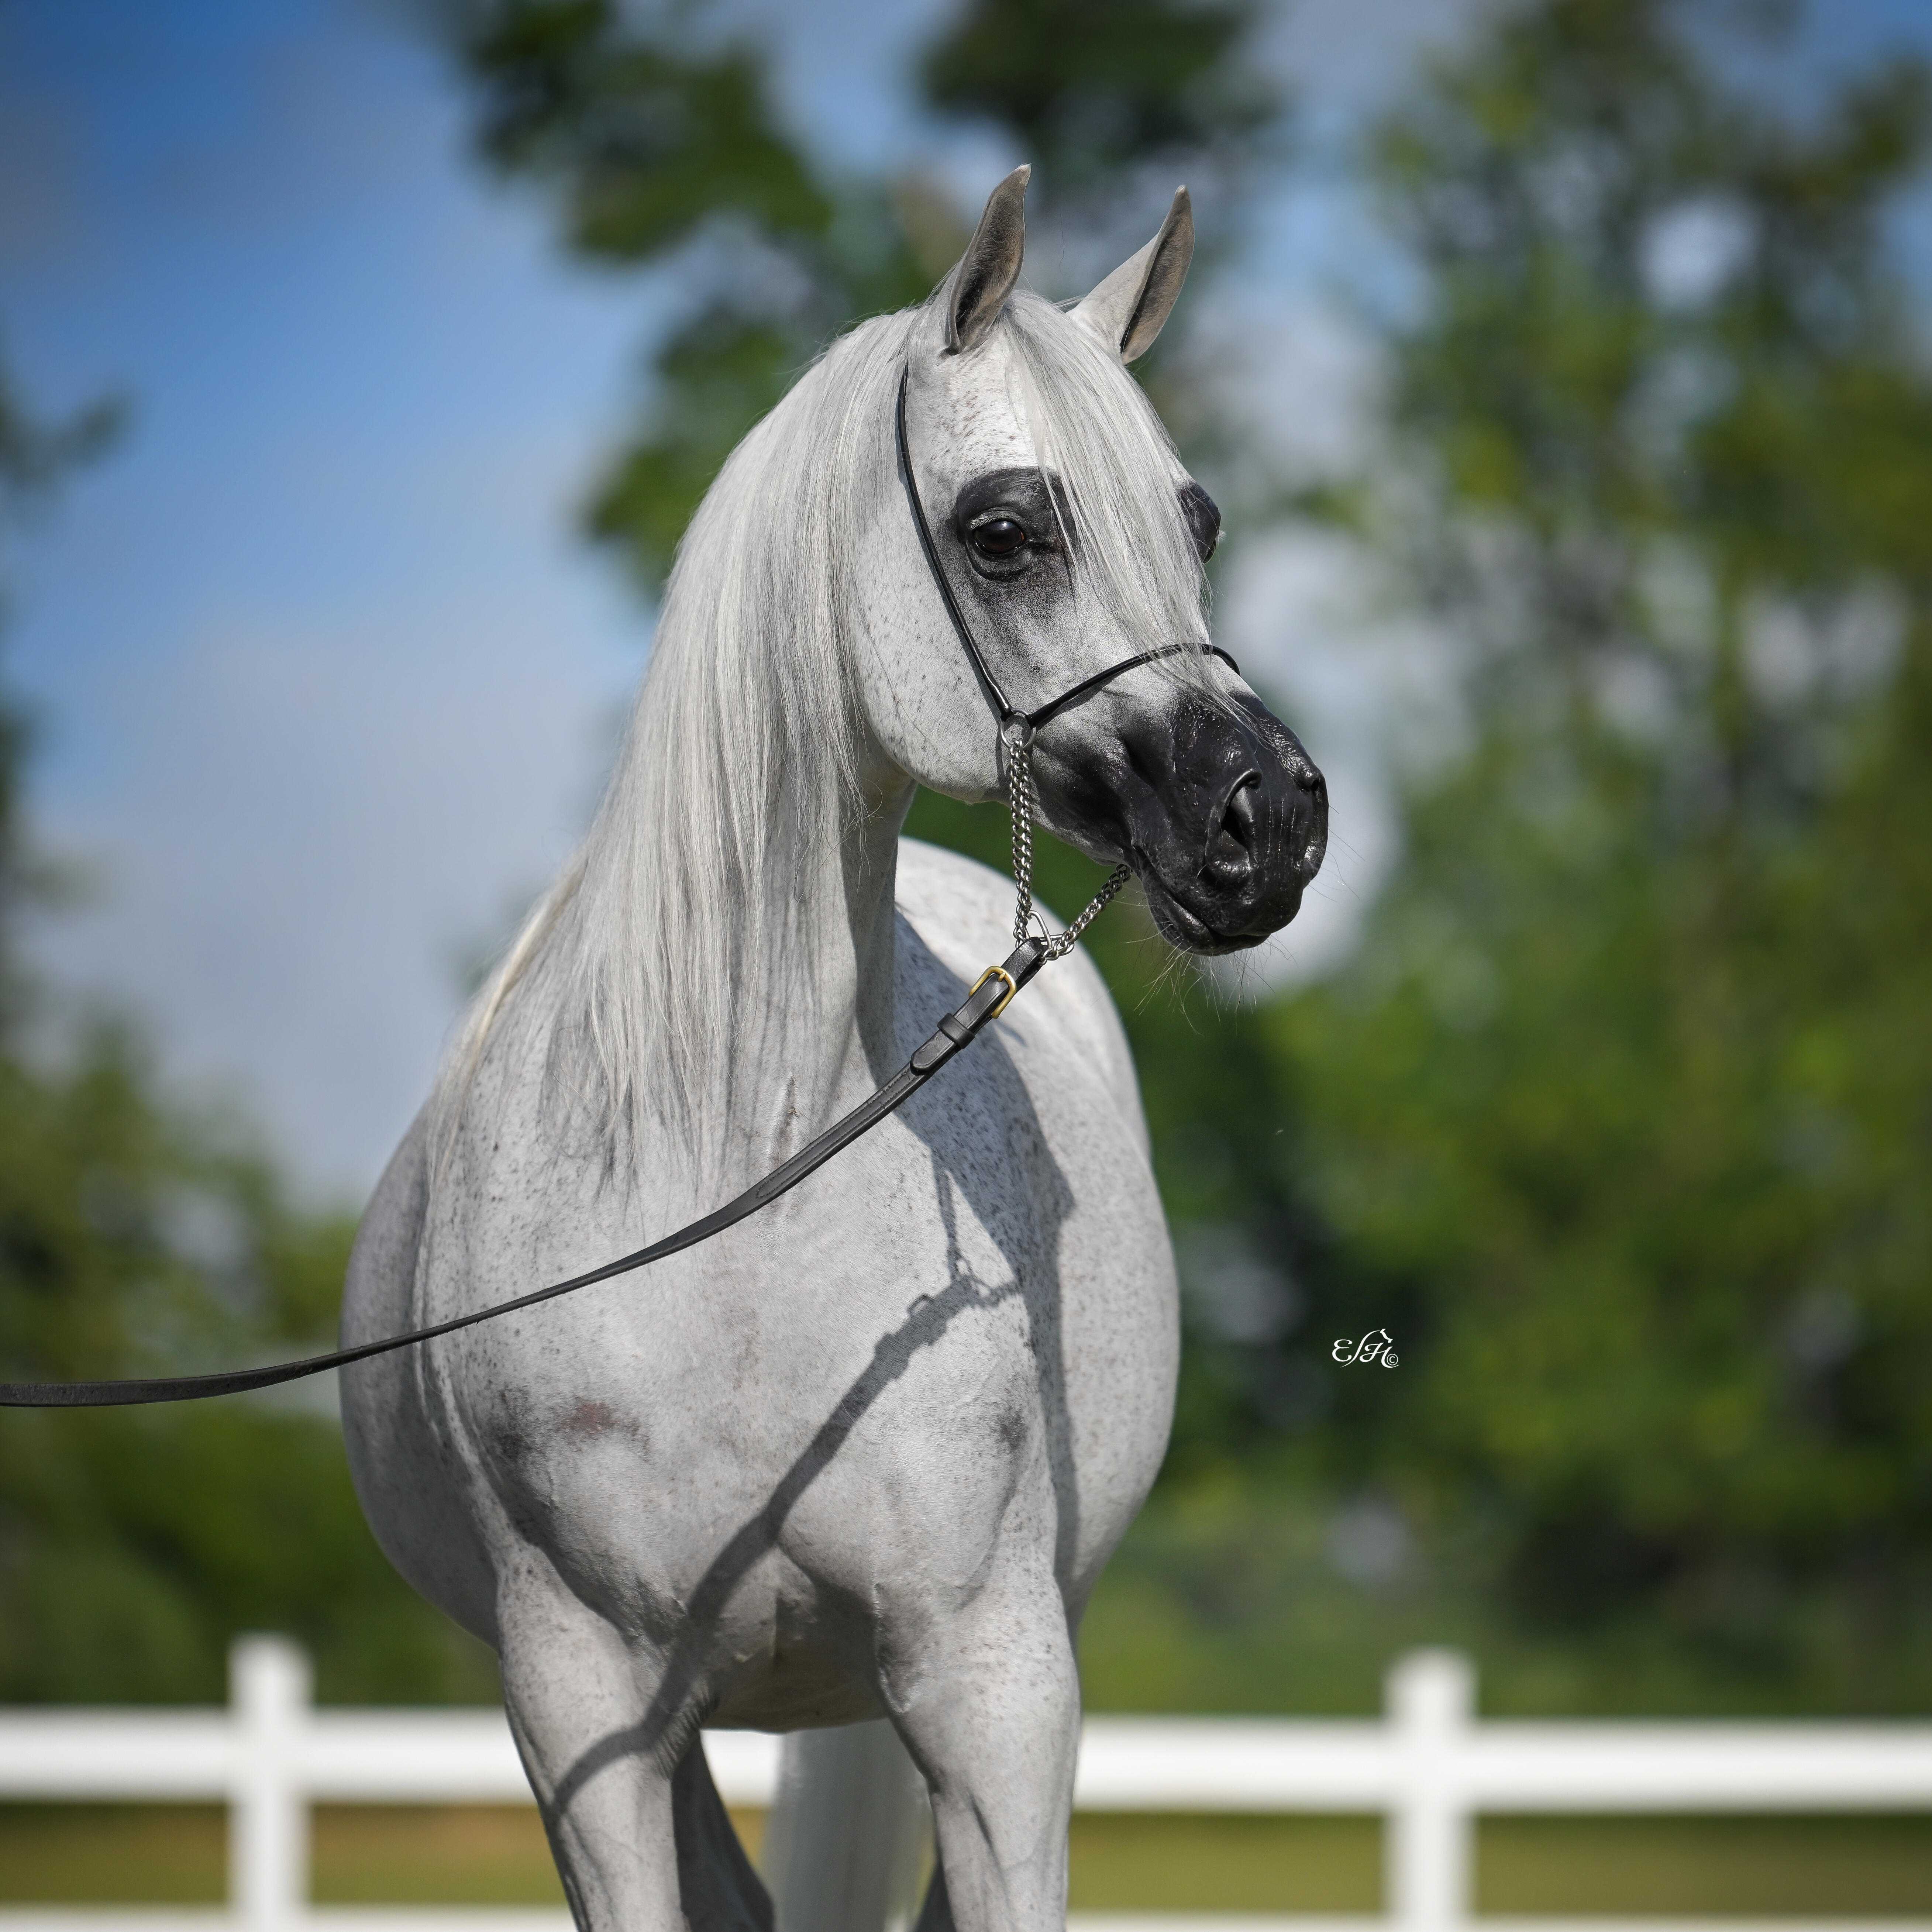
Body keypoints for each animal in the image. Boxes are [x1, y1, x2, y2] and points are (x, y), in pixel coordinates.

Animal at [340, 166, 1327, 1932]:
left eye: (1196, 522)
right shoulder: (579, 1707)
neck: (736, 1184)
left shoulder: (993, 1683)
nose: (1267, 816)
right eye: (1004, 533)